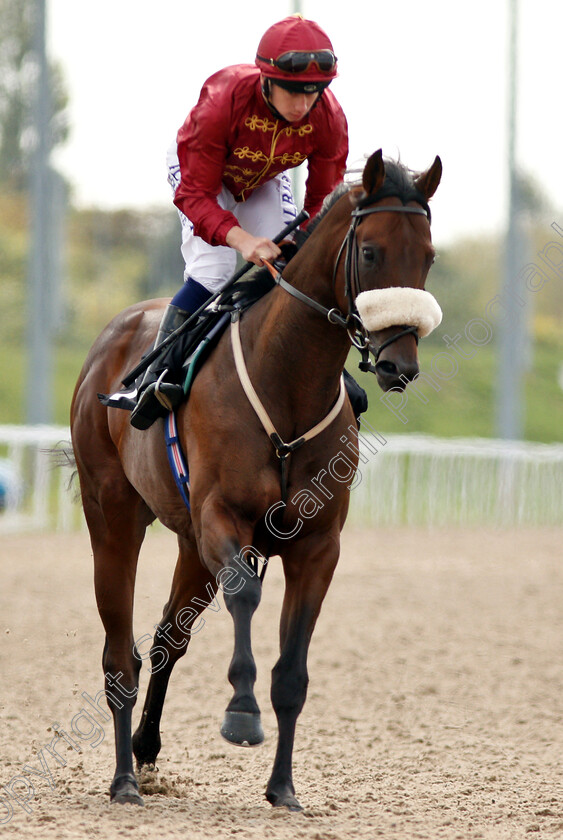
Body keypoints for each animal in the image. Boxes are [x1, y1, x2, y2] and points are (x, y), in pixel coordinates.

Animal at [69, 151, 440, 812]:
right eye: (371, 252)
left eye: (428, 255)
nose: (401, 363)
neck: (287, 386)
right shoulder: (223, 517)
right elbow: (245, 593)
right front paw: (241, 713)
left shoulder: (318, 546)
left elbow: (292, 672)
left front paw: (284, 788)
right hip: (112, 515)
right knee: (120, 652)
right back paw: (123, 780)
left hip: (188, 543)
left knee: (167, 637)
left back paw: (146, 748)